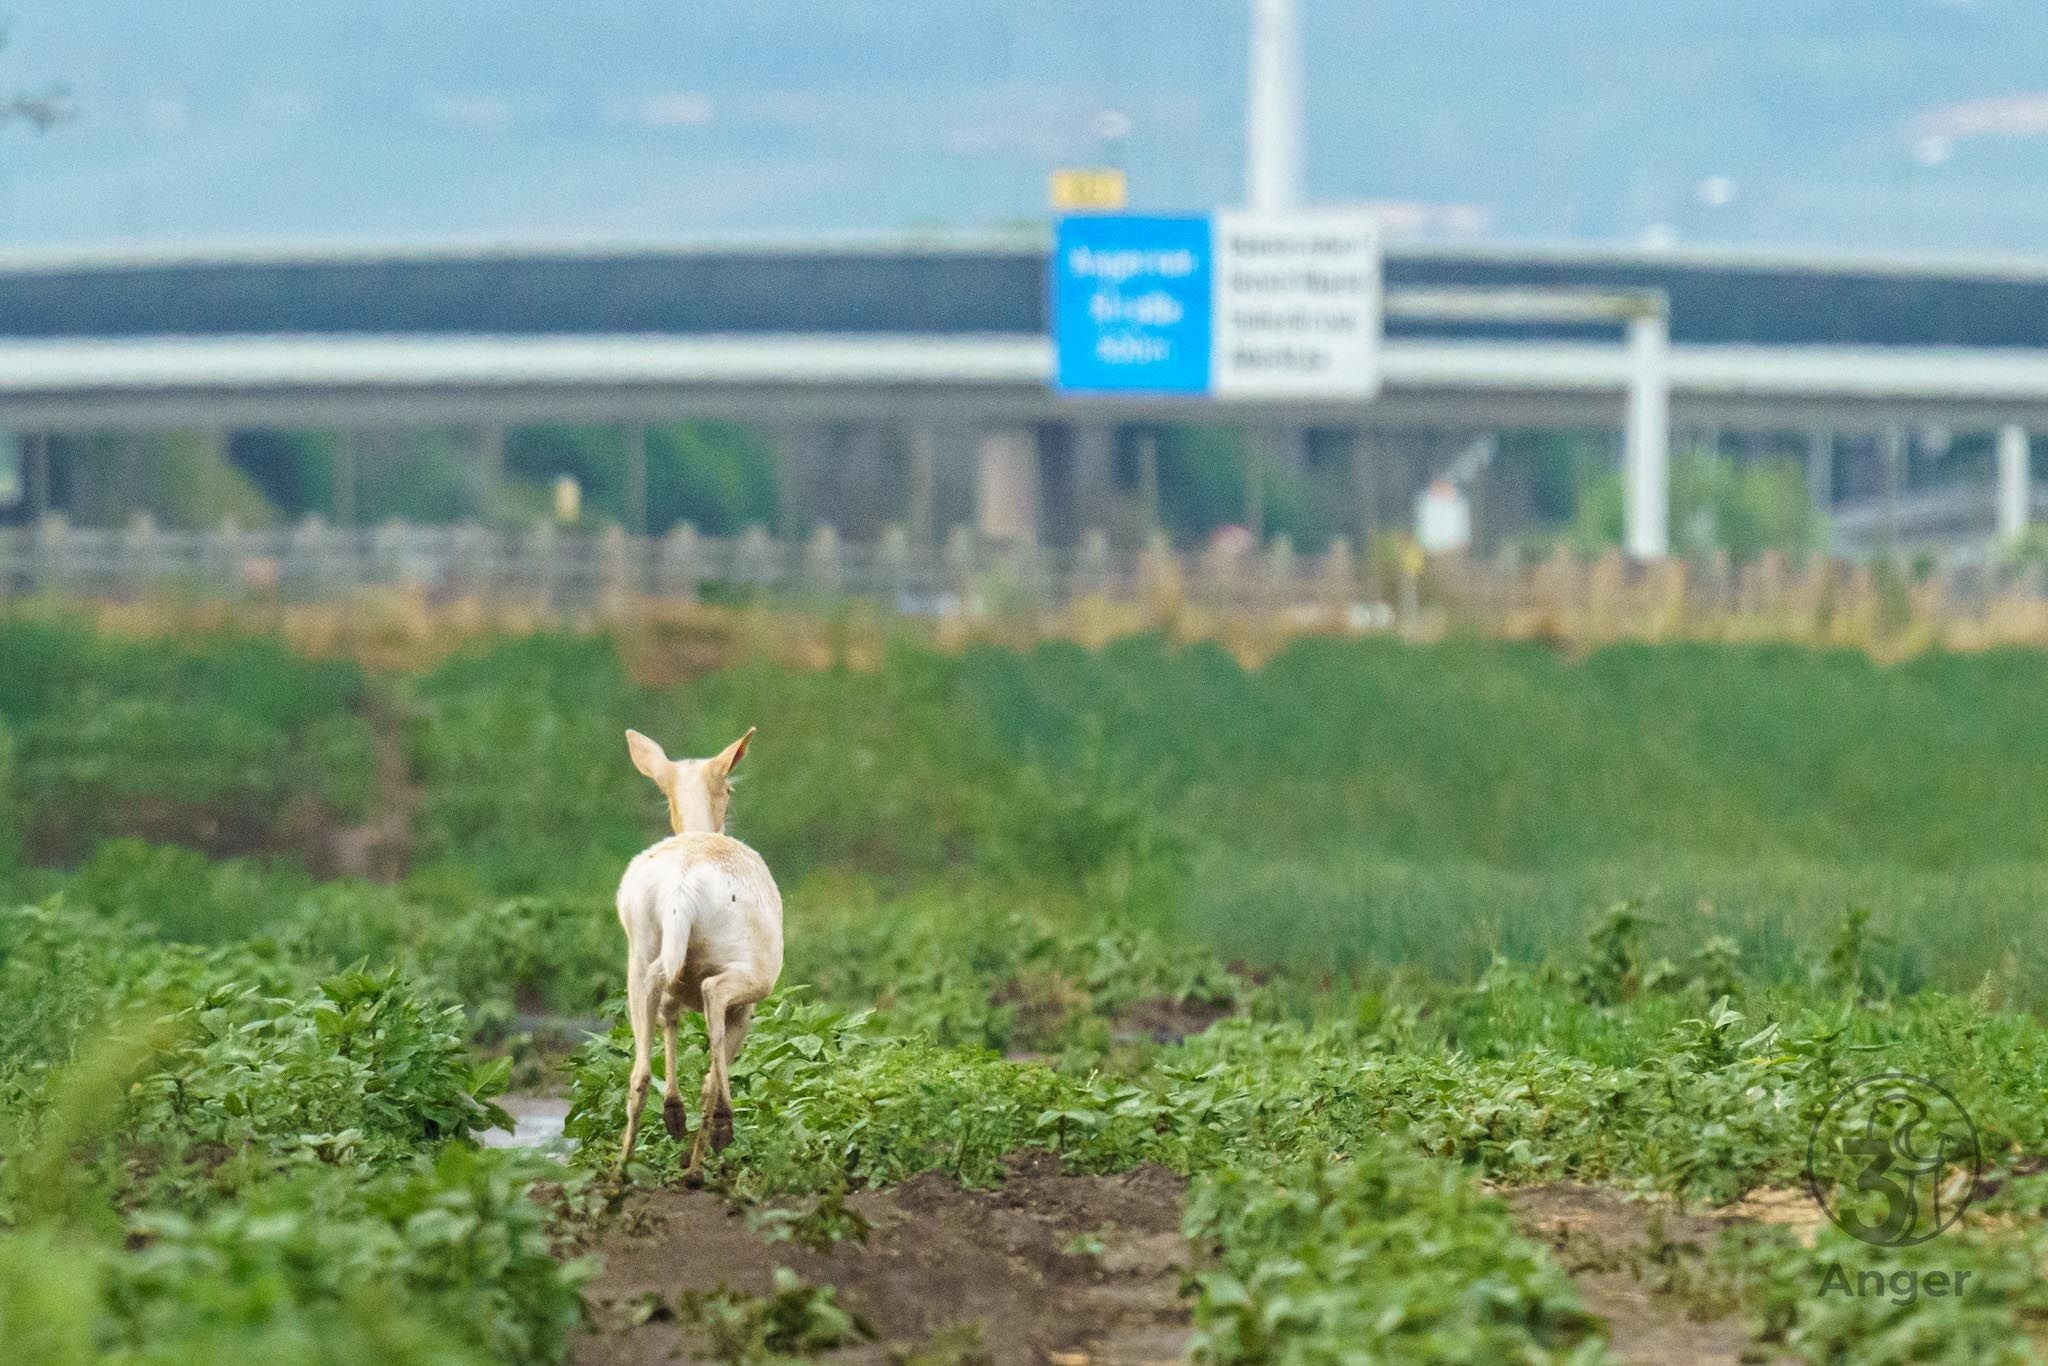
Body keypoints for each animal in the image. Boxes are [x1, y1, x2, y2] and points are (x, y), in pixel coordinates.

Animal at [614, 726, 783, 1185]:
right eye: (729, 787)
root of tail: (681, 889)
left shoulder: (669, 988)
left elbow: (670, 1022)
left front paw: (674, 1116)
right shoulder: (748, 1011)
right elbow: (713, 1065)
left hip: (640, 955)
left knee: (640, 1070)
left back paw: (619, 1171)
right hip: (753, 973)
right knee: (714, 996)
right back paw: (709, 1148)